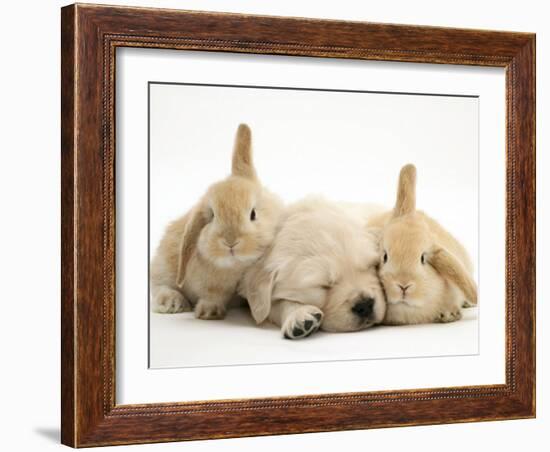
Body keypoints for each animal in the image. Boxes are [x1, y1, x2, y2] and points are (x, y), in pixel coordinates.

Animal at [153, 123, 286, 320]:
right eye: (213, 216)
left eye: (253, 214)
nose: (230, 242)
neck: (235, 268)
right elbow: (212, 294)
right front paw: (209, 312)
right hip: (163, 264)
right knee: (158, 285)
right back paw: (171, 303)